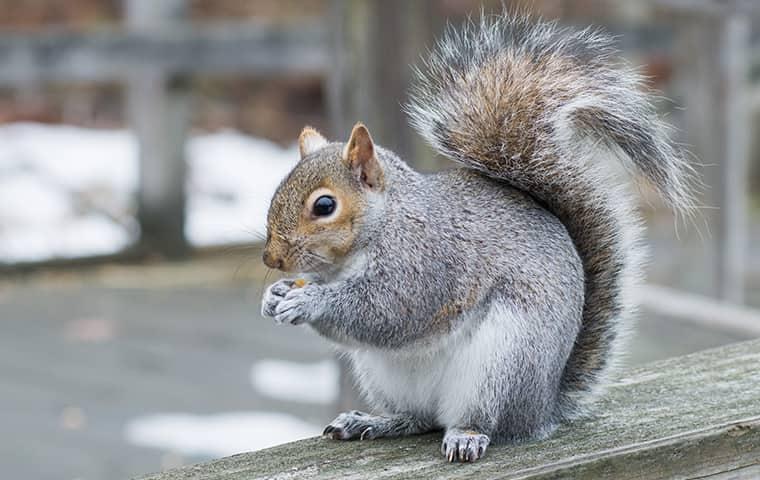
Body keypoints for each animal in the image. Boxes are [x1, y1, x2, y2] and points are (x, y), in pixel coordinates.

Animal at [260, 13, 695, 463]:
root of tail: (543, 406)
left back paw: (467, 435)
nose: (271, 259)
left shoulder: (428, 262)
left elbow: (388, 310)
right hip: (385, 375)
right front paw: (275, 295)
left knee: (483, 420)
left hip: (503, 365)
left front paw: (308, 301)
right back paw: (375, 422)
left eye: (325, 206)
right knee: (418, 418)